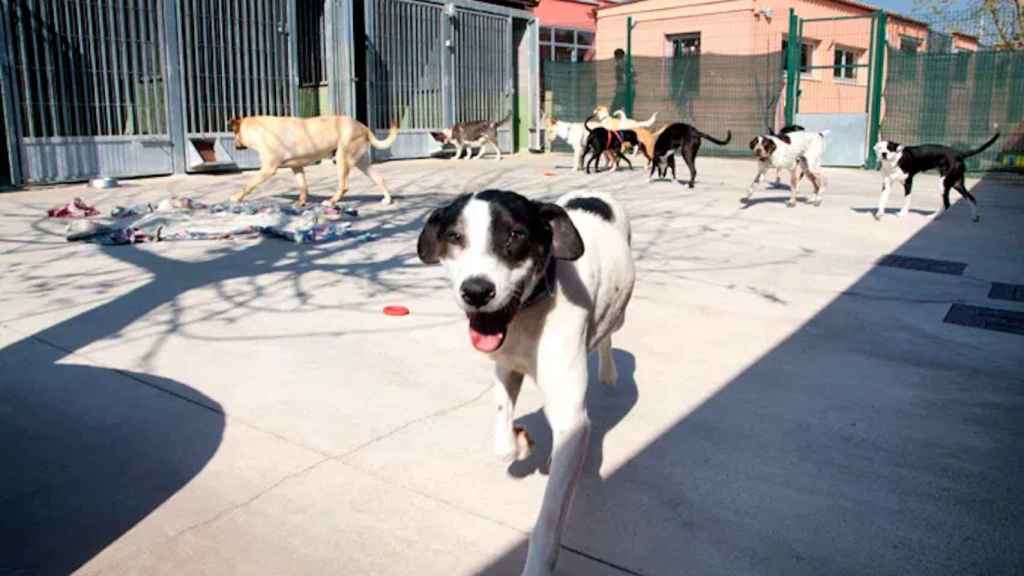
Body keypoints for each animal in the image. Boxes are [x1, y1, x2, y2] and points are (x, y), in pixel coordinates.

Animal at [415, 189, 630, 573]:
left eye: (515, 235)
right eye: (454, 236)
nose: (476, 291)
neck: (529, 314)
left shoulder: (571, 419)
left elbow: (550, 516)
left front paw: (537, 564)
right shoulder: (506, 366)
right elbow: (501, 436)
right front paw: (520, 441)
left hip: (618, 315)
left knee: (608, 334)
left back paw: (608, 371)